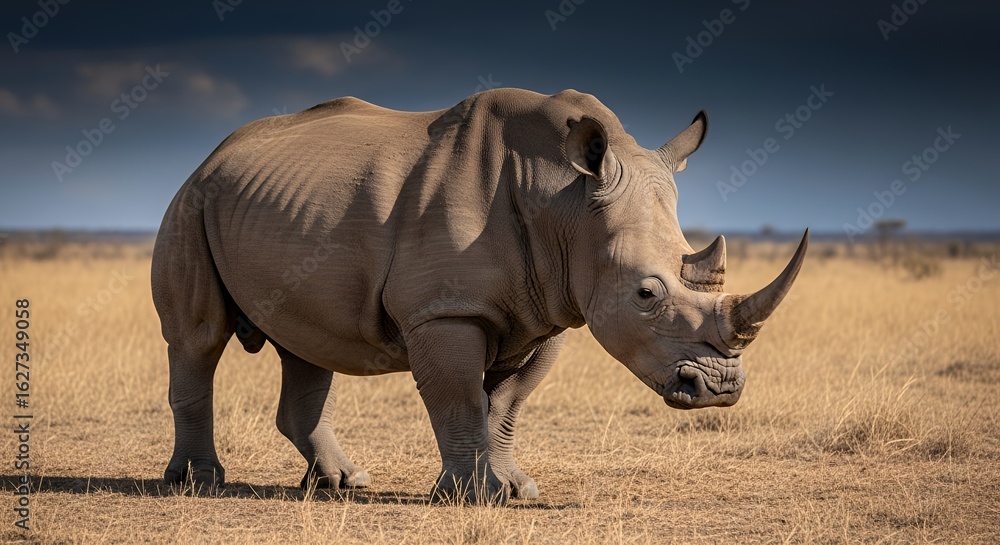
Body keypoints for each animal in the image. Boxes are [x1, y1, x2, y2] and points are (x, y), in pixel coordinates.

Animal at [151, 88, 806, 504]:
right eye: (647, 293)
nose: (720, 389)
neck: (565, 202)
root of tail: (215, 153)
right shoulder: (445, 312)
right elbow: (461, 400)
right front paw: (468, 497)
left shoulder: (552, 310)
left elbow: (507, 405)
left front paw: (516, 489)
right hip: (191, 202)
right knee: (197, 339)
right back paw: (198, 482)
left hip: (274, 206)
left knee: (307, 345)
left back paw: (343, 484)